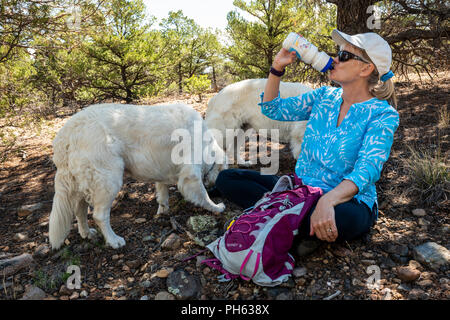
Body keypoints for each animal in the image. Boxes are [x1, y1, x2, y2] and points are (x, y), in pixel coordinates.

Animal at [48, 104, 229, 249]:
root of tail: (67, 131)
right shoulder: (191, 173)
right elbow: (202, 195)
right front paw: (216, 207)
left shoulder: (162, 170)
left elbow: (163, 193)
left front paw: (163, 211)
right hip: (108, 179)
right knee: (99, 215)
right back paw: (114, 240)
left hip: (81, 182)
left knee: (79, 211)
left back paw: (87, 233)